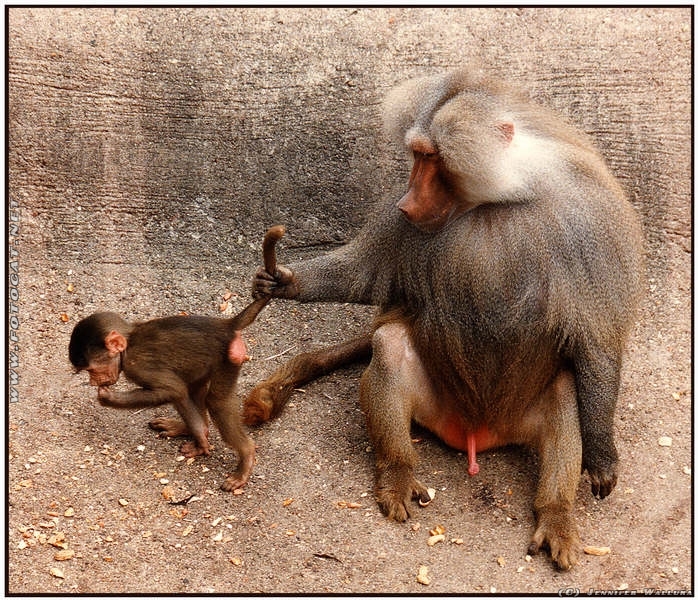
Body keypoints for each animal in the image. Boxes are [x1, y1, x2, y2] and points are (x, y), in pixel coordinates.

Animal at [69, 226, 285, 492]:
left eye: (92, 369)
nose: (92, 382)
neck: (129, 343)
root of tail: (226, 324)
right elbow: (182, 391)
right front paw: (198, 434)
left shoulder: (138, 366)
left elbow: (174, 390)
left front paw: (108, 398)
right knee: (196, 389)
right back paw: (188, 427)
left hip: (228, 359)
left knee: (213, 400)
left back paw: (244, 456)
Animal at [244, 69, 644, 570]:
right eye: (416, 156)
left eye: (431, 157)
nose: (405, 203)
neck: (500, 198)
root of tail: (476, 433)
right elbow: (360, 276)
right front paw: (283, 282)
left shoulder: (589, 221)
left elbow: (596, 338)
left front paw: (604, 455)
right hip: (435, 406)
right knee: (389, 345)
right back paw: (397, 475)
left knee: (567, 388)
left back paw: (556, 515)